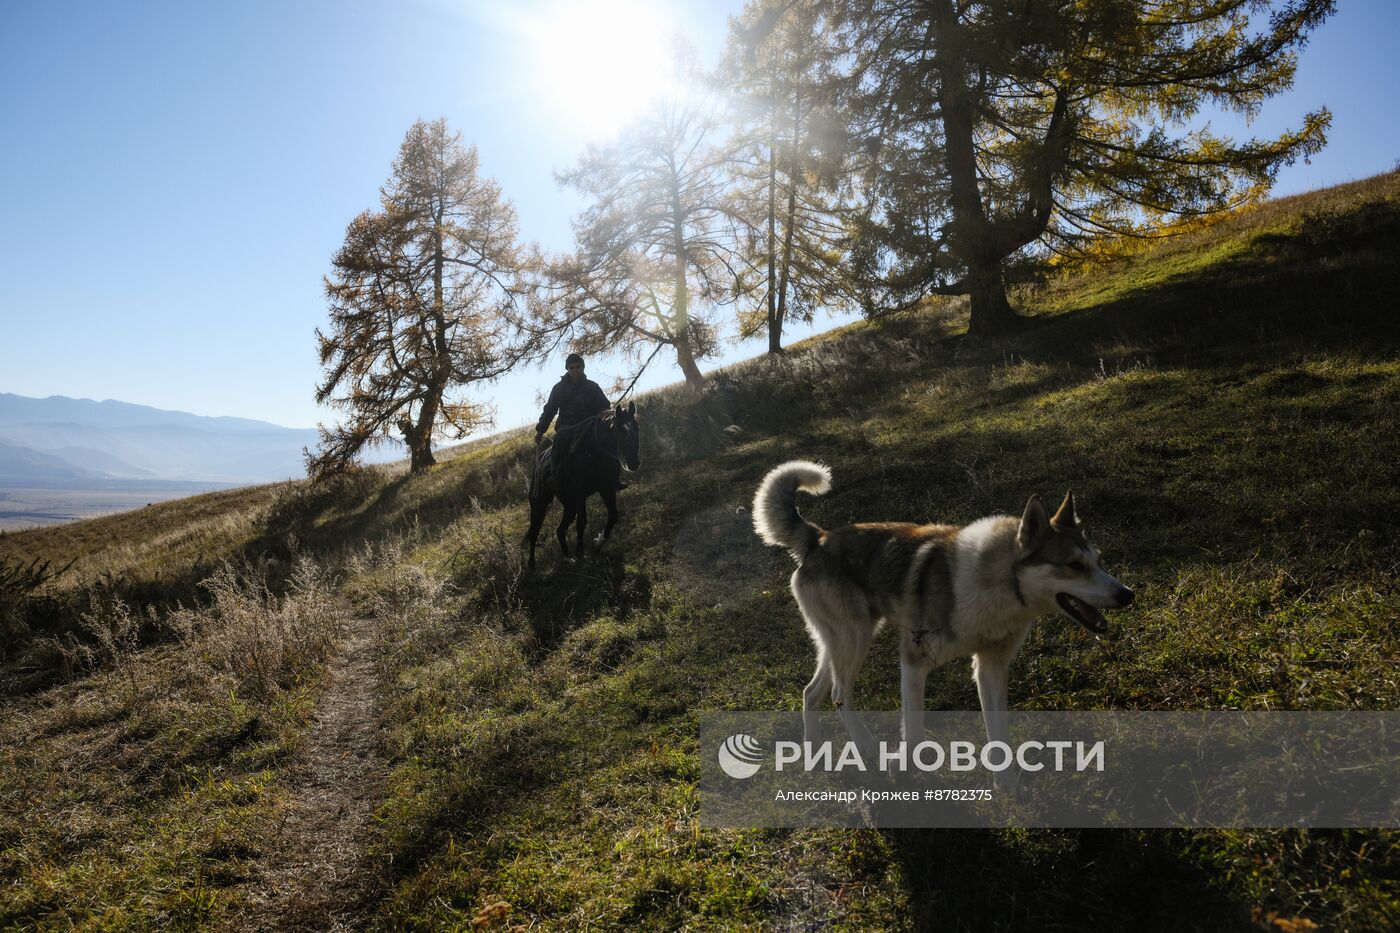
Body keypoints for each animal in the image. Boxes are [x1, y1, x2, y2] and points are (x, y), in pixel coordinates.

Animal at [526, 400, 641, 565]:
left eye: (636, 427)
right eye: (620, 429)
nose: (634, 463)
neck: (595, 452)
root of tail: (538, 463)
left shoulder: (606, 488)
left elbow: (613, 515)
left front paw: (597, 544)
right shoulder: (580, 492)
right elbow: (582, 522)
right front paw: (581, 553)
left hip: (570, 504)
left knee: (560, 529)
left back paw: (567, 558)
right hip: (539, 503)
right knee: (534, 531)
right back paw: (531, 564)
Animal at [750, 456, 1131, 756]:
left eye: (1098, 561)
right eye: (1074, 565)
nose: (1128, 595)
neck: (998, 586)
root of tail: (818, 537)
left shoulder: (991, 668)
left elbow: (999, 739)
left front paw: (1009, 790)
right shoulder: (913, 661)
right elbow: (915, 734)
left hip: (840, 642)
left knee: (812, 693)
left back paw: (813, 752)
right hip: (854, 640)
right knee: (839, 695)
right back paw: (868, 750)